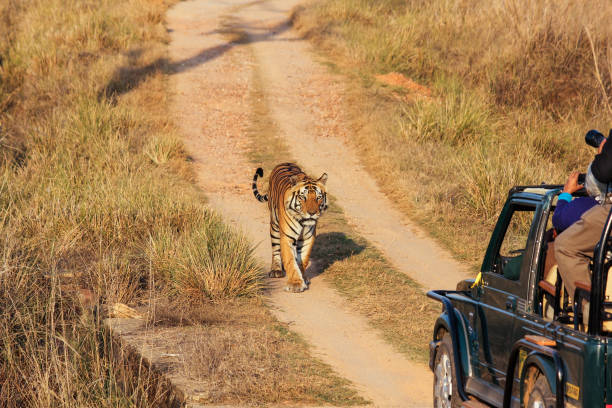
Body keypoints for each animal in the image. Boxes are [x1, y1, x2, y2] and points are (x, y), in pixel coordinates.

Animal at [251, 161, 328, 292]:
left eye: (319, 197)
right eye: (303, 197)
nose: (312, 213)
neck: (303, 221)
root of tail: (285, 162)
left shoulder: (308, 238)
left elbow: (302, 260)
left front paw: (303, 278)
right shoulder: (287, 237)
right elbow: (291, 260)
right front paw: (295, 283)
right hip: (274, 226)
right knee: (276, 249)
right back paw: (276, 270)